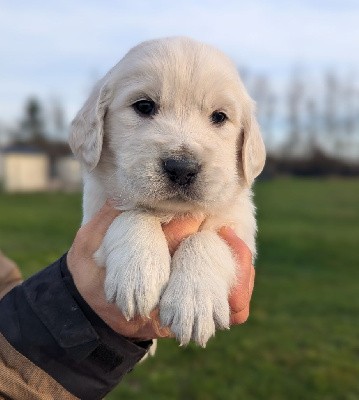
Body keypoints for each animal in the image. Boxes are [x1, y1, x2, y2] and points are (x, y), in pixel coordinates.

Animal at [70, 36, 266, 346]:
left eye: (219, 116)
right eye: (144, 106)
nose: (182, 167)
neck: (170, 212)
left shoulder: (240, 231)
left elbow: (208, 239)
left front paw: (194, 300)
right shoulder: (95, 217)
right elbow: (133, 213)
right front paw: (139, 271)